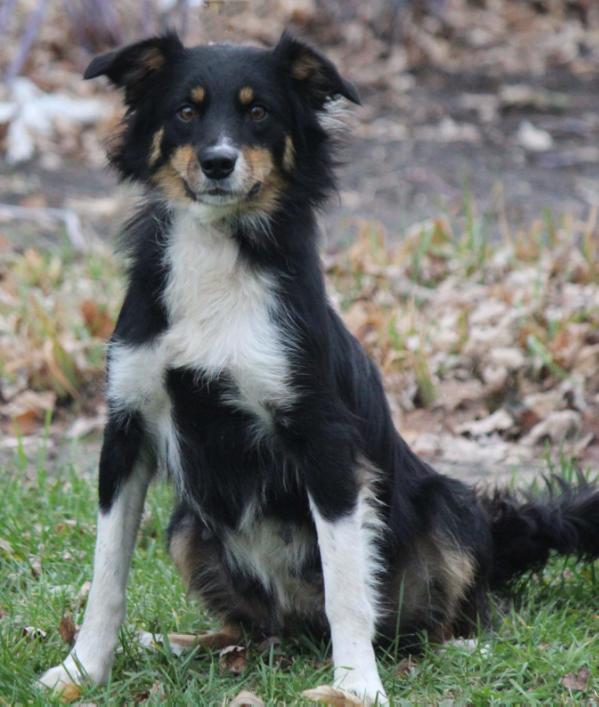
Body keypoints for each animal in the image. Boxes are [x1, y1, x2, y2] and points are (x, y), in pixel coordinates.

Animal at [38, 31, 599, 704]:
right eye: (185, 110)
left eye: (258, 111)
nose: (218, 162)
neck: (218, 249)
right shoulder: (126, 428)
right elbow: (107, 573)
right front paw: (81, 670)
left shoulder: (324, 440)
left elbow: (347, 590)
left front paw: (357, 685)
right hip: (185, 528)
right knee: (247, 630)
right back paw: (170, 643)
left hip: (448, 506)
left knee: (436, 618)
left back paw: (458, 645)